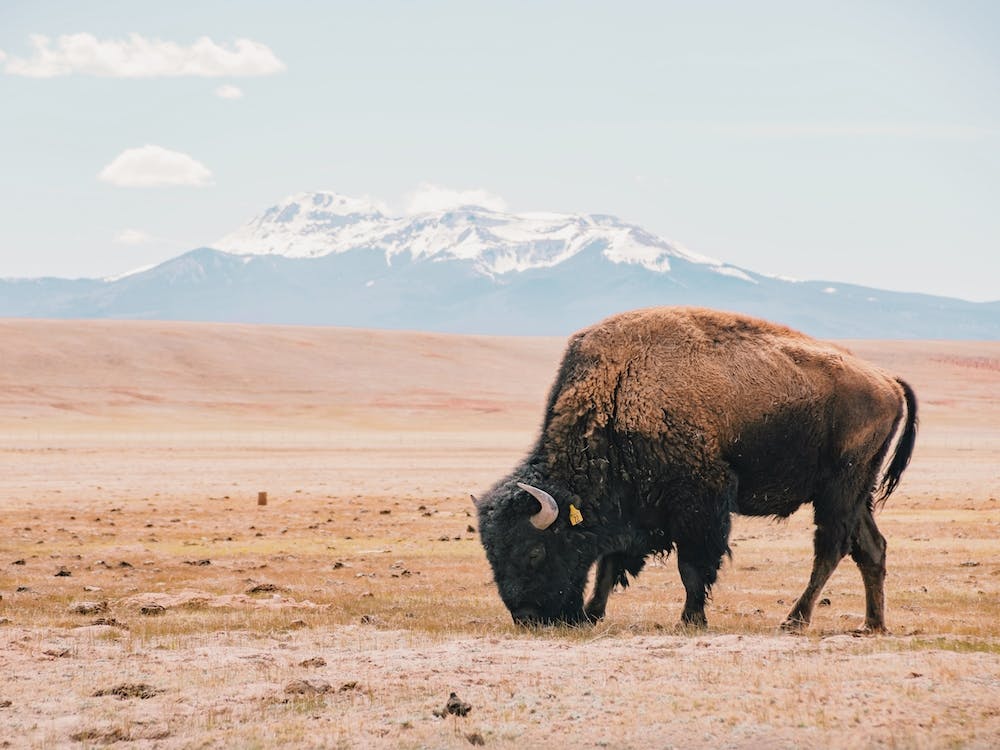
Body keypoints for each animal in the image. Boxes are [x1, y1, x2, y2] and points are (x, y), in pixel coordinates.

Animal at [475, 307, 917, 631]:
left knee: (831, 548)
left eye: (534, 551)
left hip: (839, 489)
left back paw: (794, 620)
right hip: (858, 494)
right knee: (871, 548)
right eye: (492, 554)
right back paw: (873, 624)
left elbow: (691, 567)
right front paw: (592, 613)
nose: (528, 618)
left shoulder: (699, 505)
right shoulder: (633, 509)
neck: (619, 392)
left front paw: (690, 620)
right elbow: (609, 563)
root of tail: (887, 381)